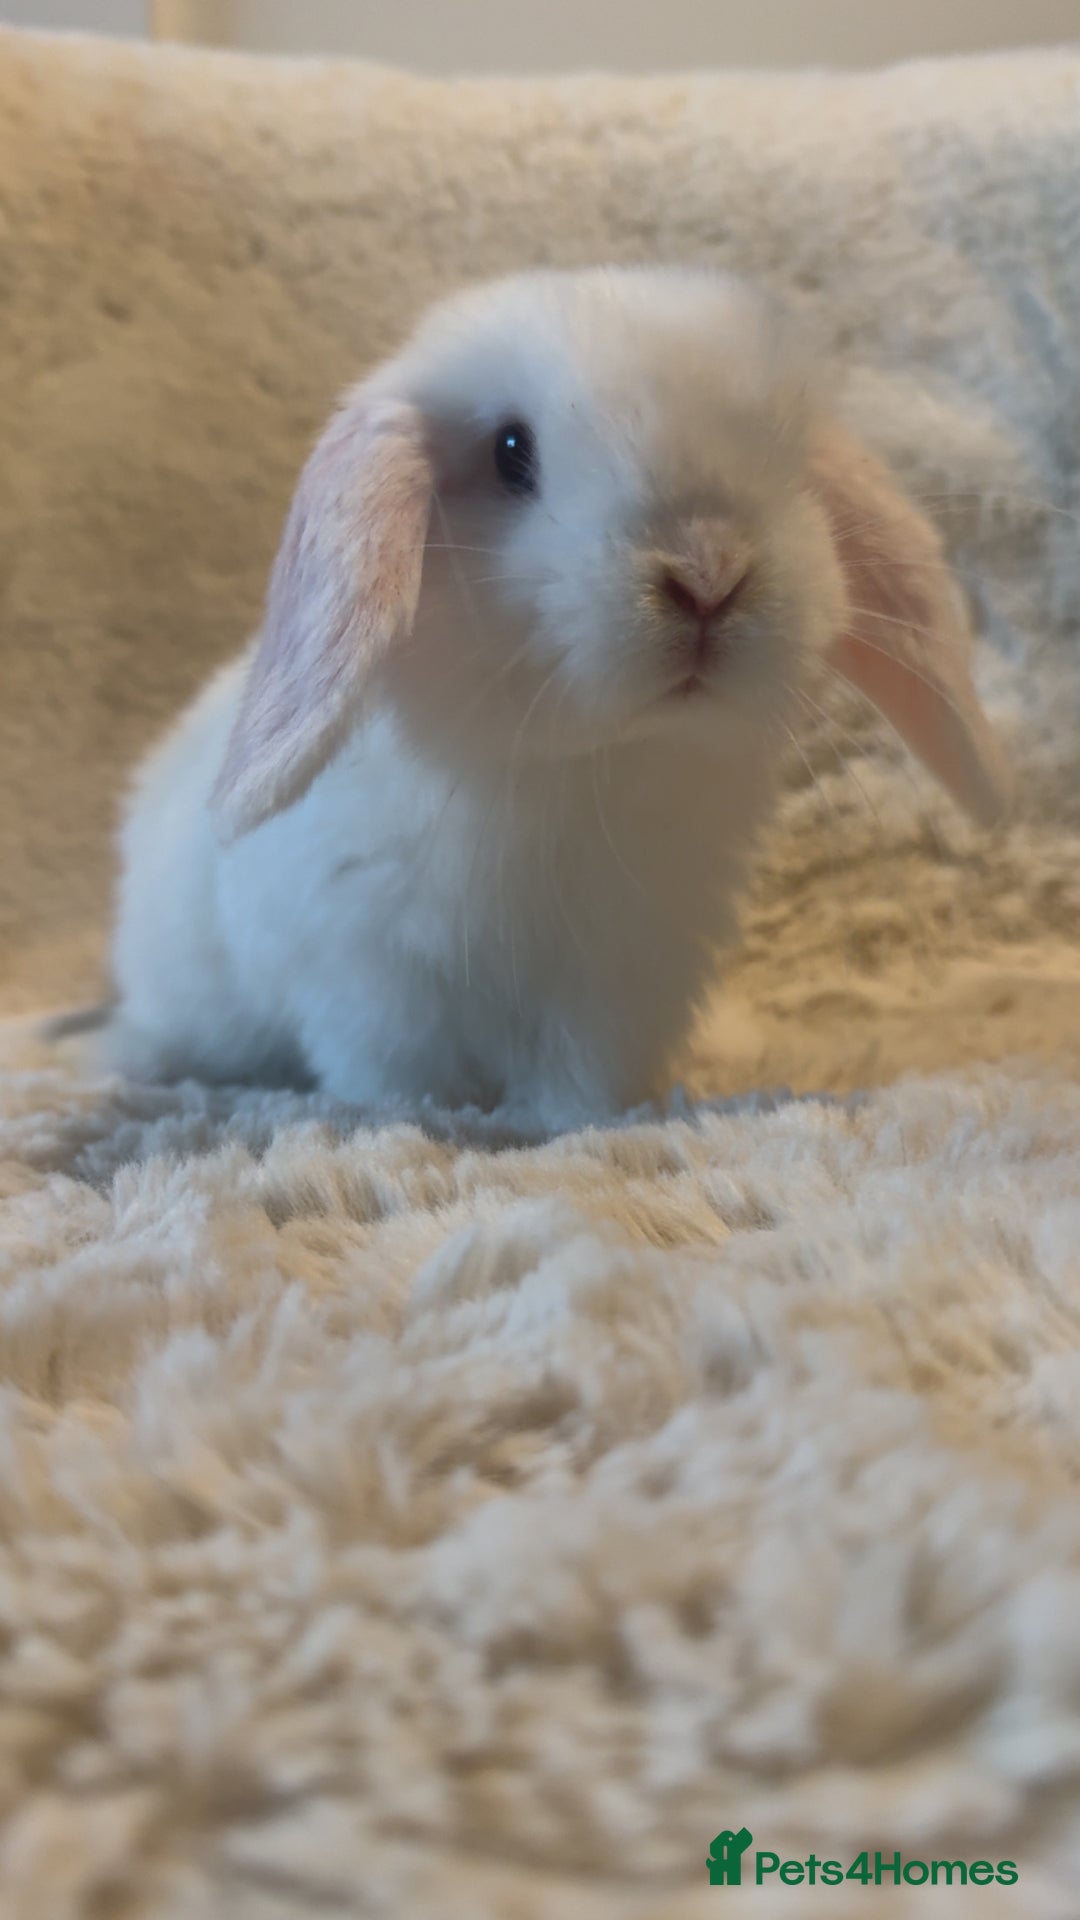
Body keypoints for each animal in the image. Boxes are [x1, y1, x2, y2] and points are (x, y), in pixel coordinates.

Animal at [105, 266, 1009, 1129]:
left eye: (790, 461)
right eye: (512, 452)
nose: (709, 574)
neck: (583, 770)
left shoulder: (619, 982)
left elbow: (580, 1082)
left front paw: (579, 1121)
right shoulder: (371, 981)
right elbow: (400, 1077)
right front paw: (423, 1118)